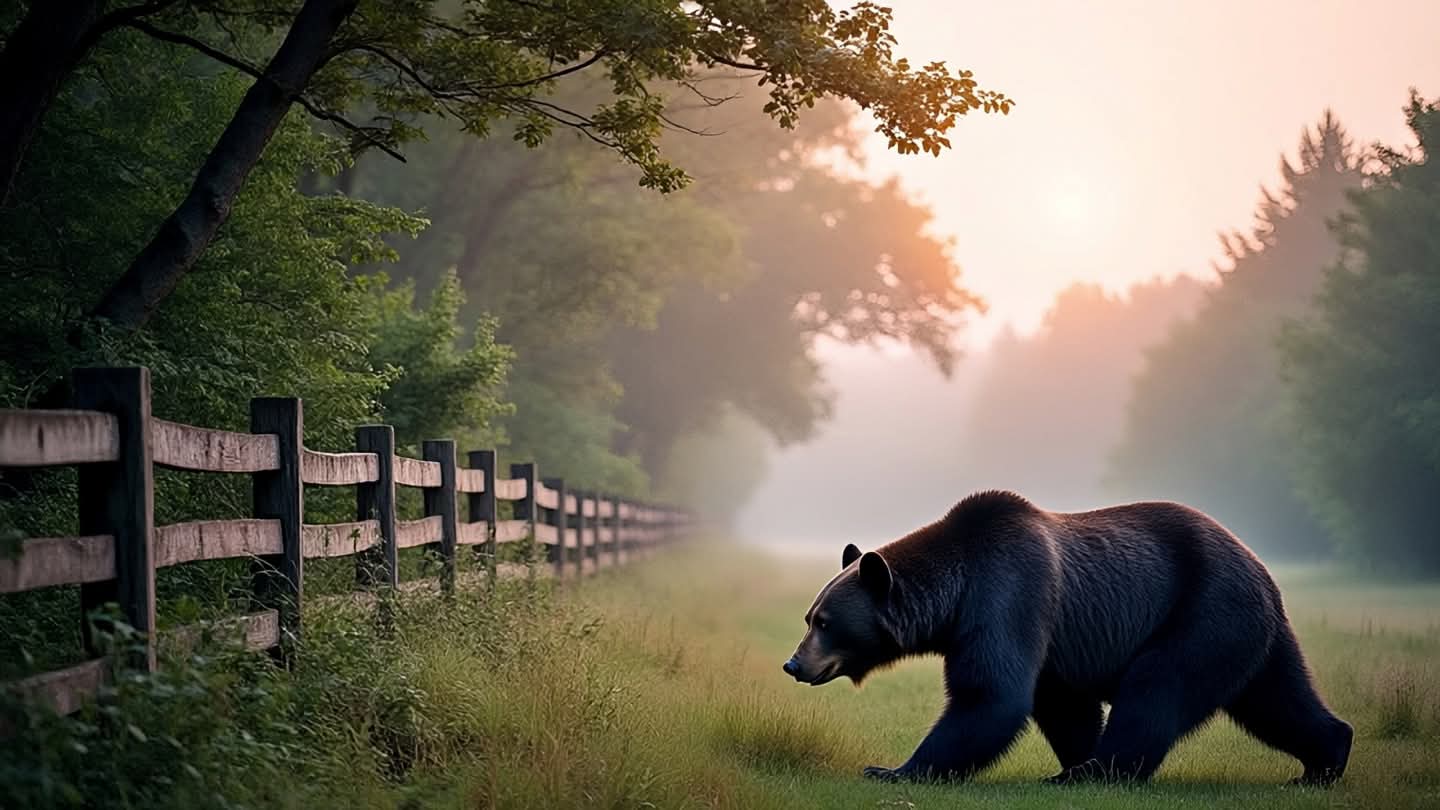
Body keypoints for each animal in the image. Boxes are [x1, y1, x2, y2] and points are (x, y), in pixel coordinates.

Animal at [782, 490, 1352, 786]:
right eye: (809, 616)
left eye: (824, 622)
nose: (793, 665)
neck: (956, 595)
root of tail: (1262, 570)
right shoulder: (1051, 642)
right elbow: (1060, 703)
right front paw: (1077, 752)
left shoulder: (1010, 593)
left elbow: (990, 695)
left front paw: (893, 769)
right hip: (1251, 631)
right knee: (1276, 696)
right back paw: (1323, 759)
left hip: (1205, 608)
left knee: (1157, 684)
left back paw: (1098, 772)